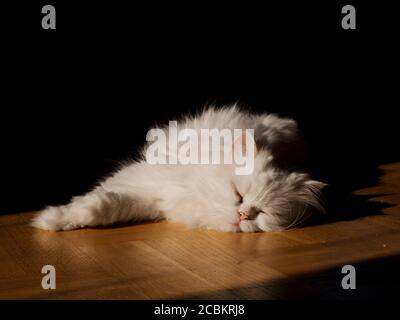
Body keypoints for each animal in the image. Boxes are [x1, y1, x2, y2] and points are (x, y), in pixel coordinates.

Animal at [31, 105, 324, 232]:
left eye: (263, 212)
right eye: (238, 194)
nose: (243, 215)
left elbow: (104, 206)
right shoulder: (148, 184)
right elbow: (100, 204)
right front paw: (51, 220)